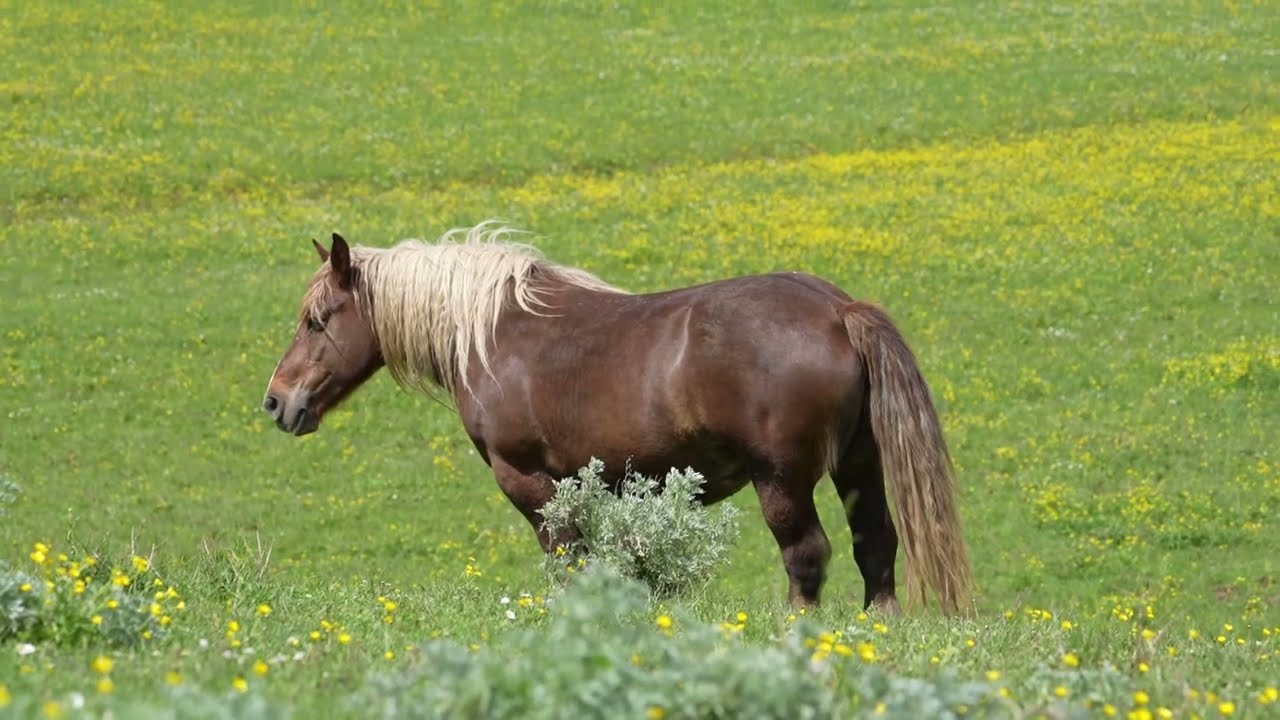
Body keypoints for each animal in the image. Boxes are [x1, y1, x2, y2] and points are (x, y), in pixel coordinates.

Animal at [262, 223, 974, 614]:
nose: (276, 400)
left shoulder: (528, 479)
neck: (495, 334)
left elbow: (565, 560)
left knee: (807, 556)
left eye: (316, 321)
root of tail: (837, 310)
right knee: (875, 545)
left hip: (782, 479)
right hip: (858, 466)